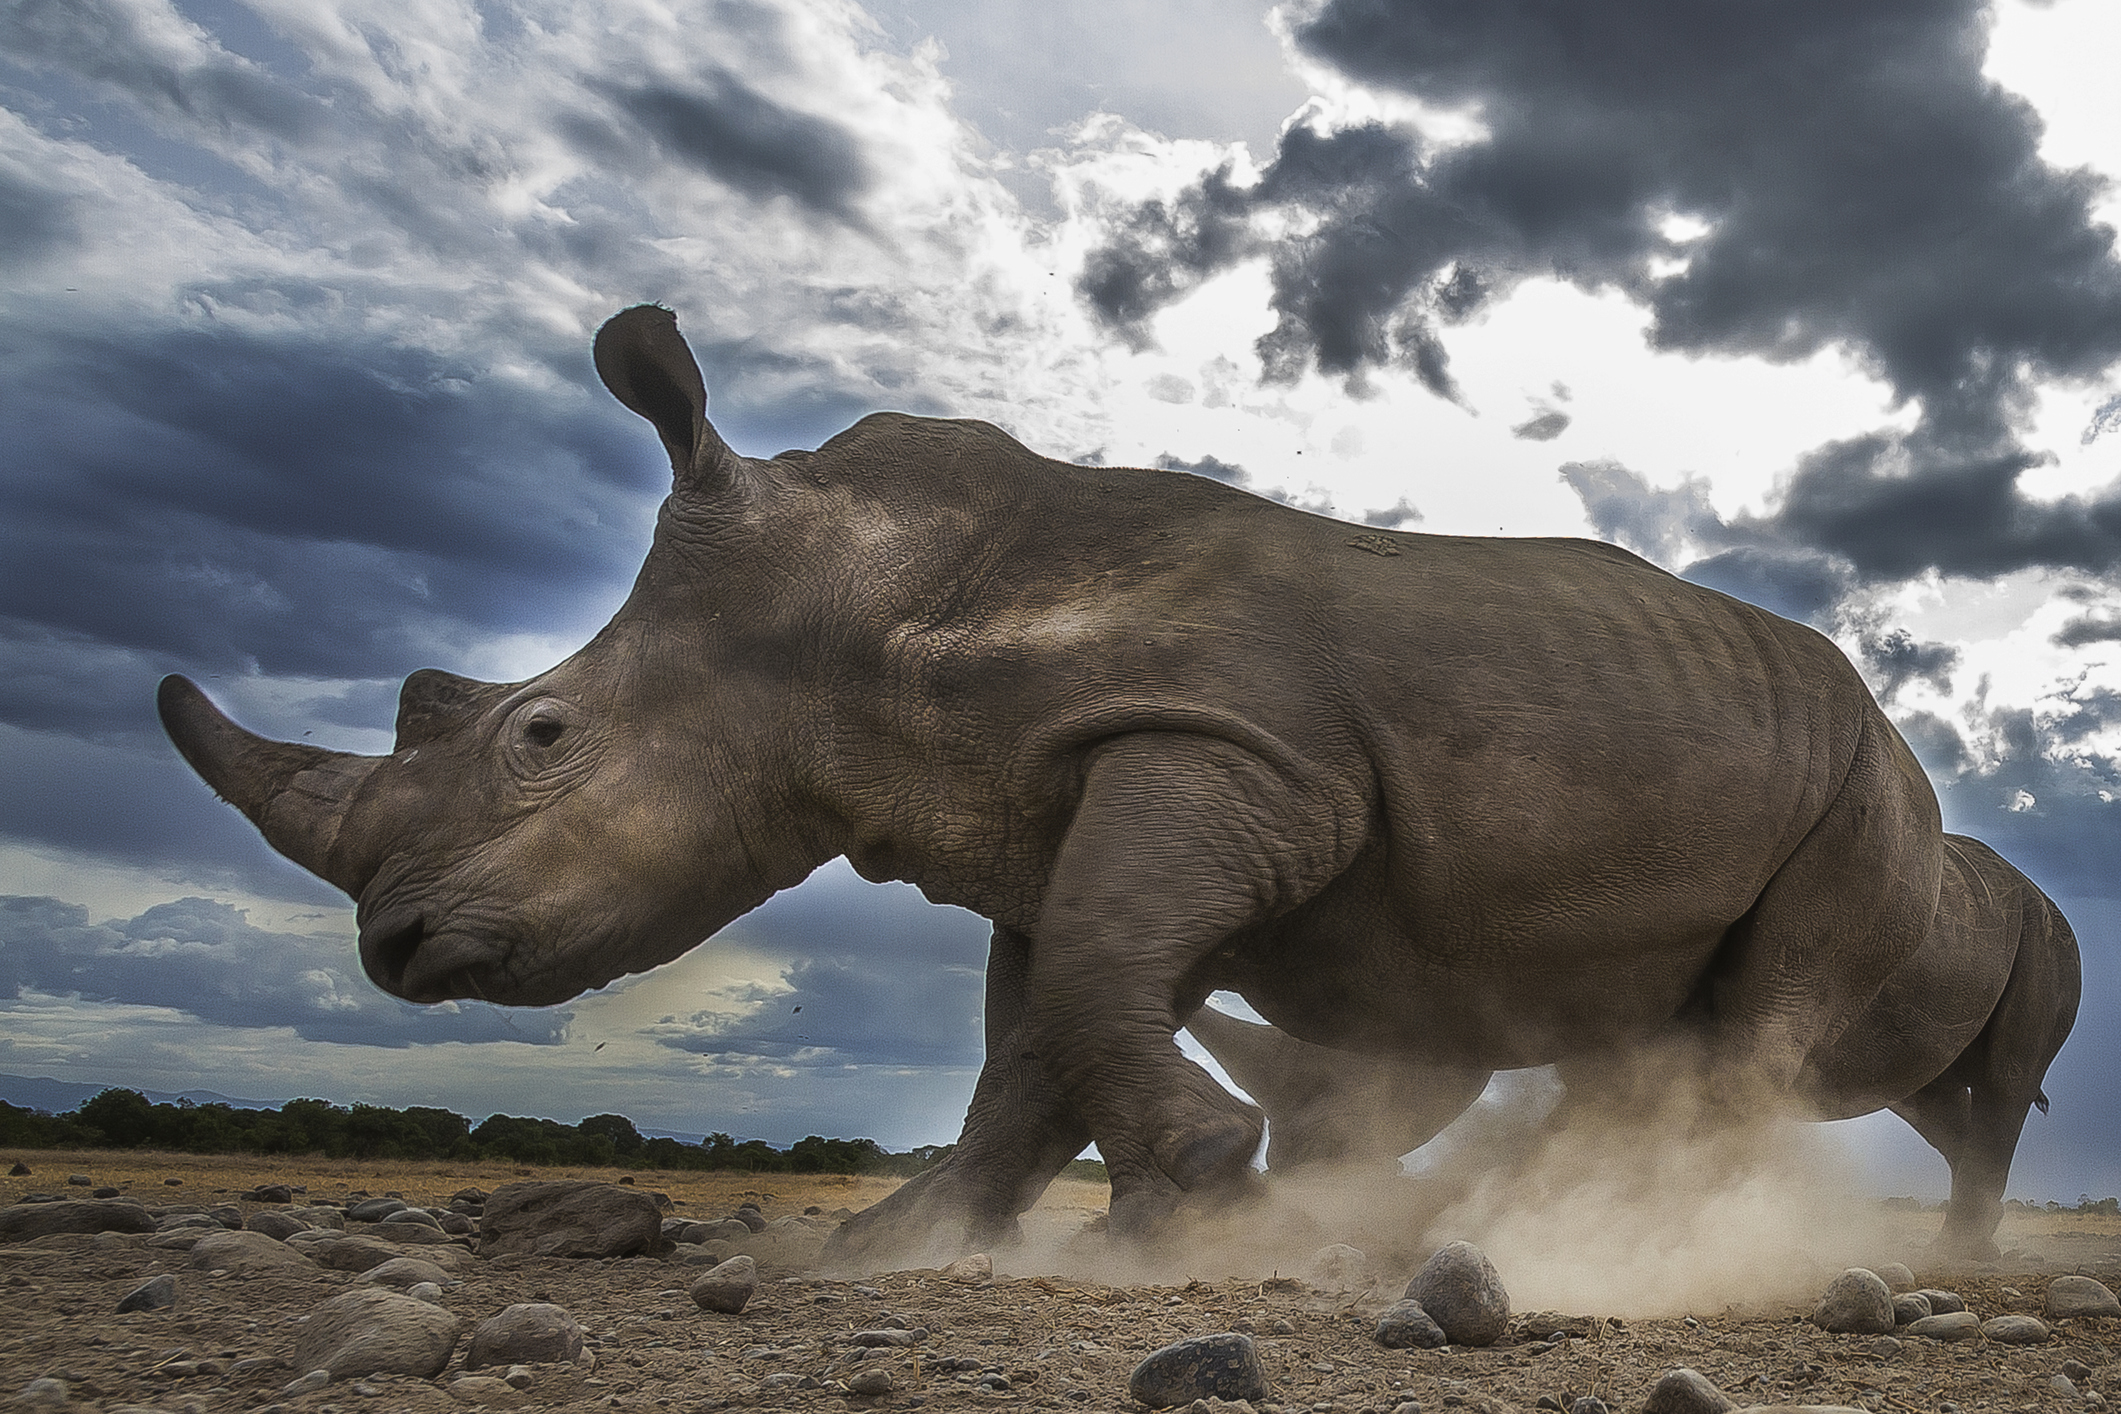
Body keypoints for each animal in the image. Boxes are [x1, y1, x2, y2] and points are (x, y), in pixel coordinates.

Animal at [1184, 832, 2079, 1255]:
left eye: (1364, 1086)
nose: (1295, 1169)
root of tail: (2036, 892)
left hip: (2046, 931)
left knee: (2004, 1079)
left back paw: (1957, 1250)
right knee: (1926, 1099)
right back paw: (1971, 1232)